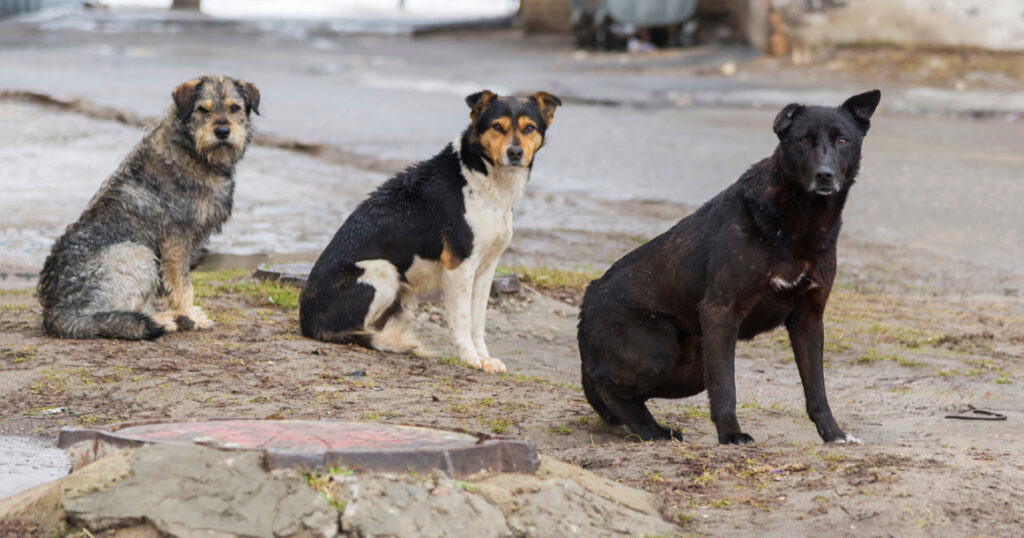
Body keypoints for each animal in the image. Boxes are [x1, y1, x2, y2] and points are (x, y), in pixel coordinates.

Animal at [37, 74, 260, 340]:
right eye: (202, 109)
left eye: (234, 108)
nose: (223, 131)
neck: (193, 152)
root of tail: (56, 311)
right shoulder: (175, 241)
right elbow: (183, 285)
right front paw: (190, 315)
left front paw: (186, 313)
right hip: (138, 253)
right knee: (118, 315)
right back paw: (164, 320)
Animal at [299, 90, 565, 370]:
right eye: (497, 127)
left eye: (529, 128)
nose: (515, 152)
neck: (480, 176)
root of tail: (307, 321)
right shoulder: (459, 267)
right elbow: (462, 320)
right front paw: (471, 358)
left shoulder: (486, 269)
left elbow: (478, 322)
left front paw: (485, 358)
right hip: (382, 270)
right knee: (356, 331)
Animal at [577, 89, 880, 444]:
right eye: (804, 139)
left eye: (843, 140)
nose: (824, 175)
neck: (798, 223)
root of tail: (587, 298)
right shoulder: (721, 311)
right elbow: (726, 385)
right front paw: (731, 433)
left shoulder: (809, 318)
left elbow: (817, 388)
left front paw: (832, 433)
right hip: (659, 353)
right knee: (609, 386)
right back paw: (652, 430)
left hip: (690, 371)